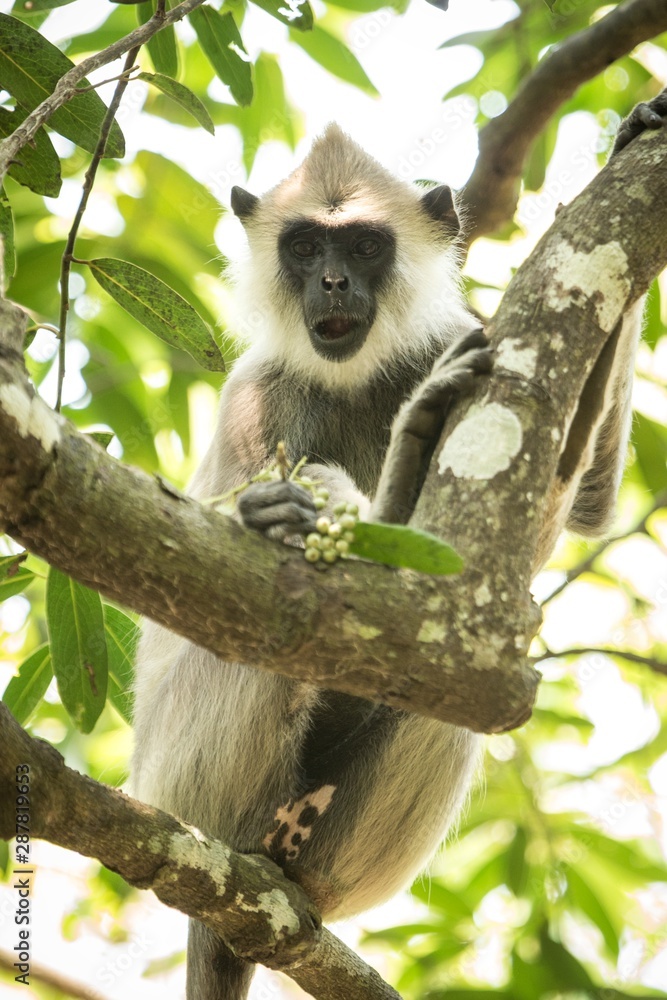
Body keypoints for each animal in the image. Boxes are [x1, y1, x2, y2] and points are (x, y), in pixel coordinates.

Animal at [131, 96, 665, 1000]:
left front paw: (635, 139)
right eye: (305, 247)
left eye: (363, 247)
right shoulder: (257, 395)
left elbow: (587, 504)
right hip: (183, 782)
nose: (331, 283)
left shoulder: (460, 337)